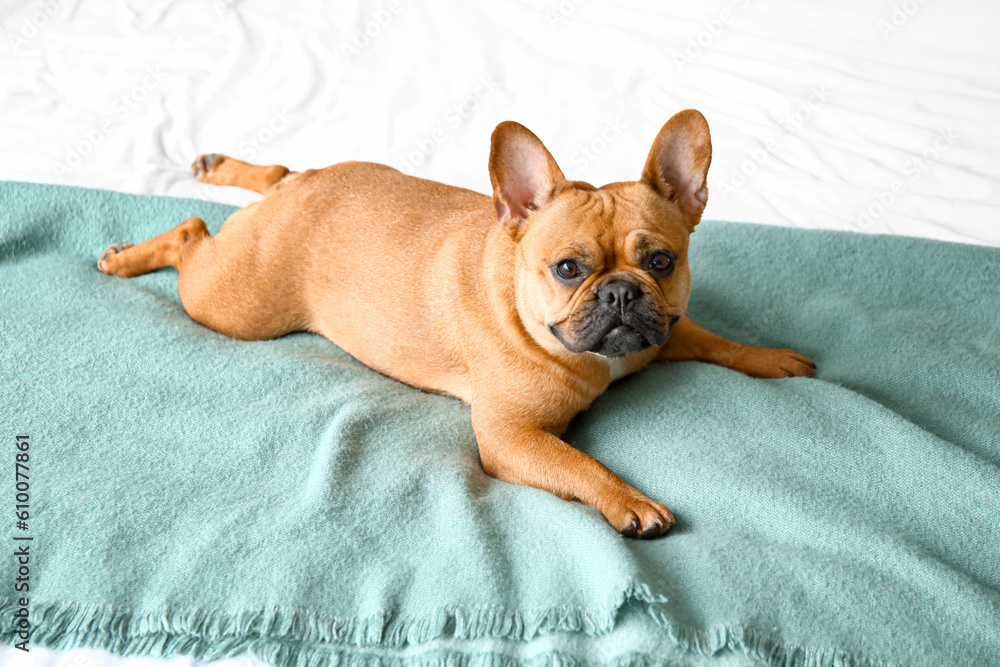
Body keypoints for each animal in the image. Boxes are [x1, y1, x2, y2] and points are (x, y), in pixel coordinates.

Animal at [99, 108, 812, 536]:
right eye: (568, 268)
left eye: (661, 262)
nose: (617, 294)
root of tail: (298, 194)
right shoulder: (513, 439)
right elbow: (581, 465)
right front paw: (631, 501)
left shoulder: (658, 331)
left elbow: (708, 337)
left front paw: (771, 357)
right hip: (235, 305)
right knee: (191, 231)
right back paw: (129, 256)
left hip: (277, 218)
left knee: (272, 172)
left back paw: (223, 167)